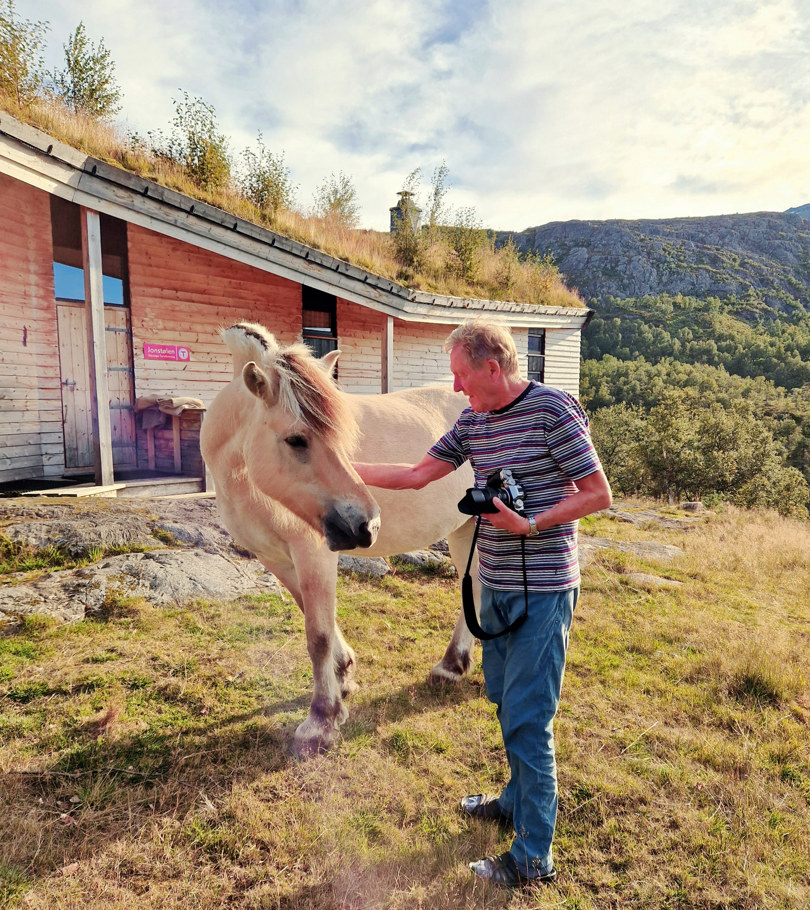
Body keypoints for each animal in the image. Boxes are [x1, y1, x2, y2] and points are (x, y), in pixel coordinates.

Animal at [202, 324, 480, 760]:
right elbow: (317, 619)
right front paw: (343, 673)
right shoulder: (277, 558)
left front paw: (322, 719)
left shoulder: (314, 553)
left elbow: (316, 634)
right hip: (463, 528)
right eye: (297, 440)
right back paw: (452, 665)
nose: (368, 525)